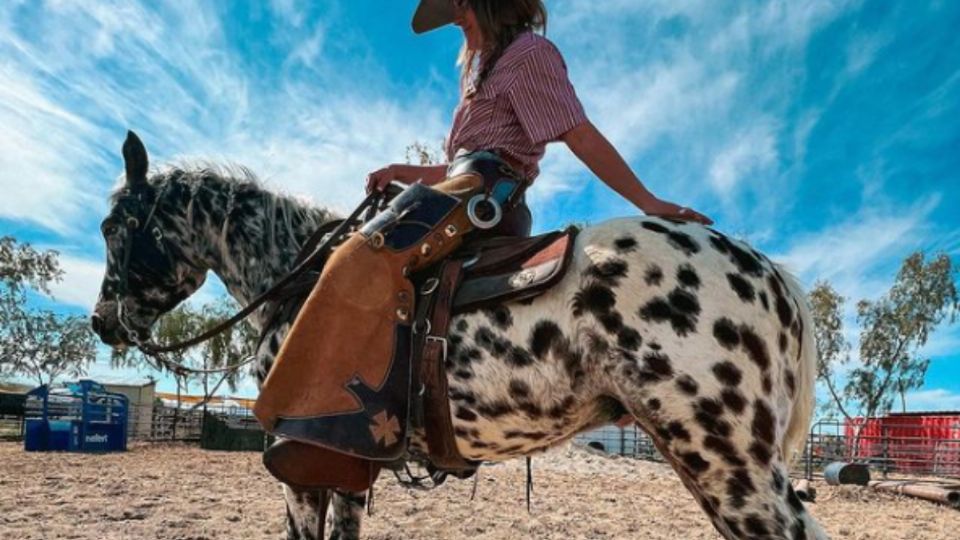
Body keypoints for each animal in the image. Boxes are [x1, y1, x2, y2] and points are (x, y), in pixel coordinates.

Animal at [92, 132, 824, 540]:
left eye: (112, 228)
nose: (102, 320)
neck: (293, 282)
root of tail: (772, 275)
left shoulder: (300, 471)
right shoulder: (343, 468)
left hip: (727, 463)